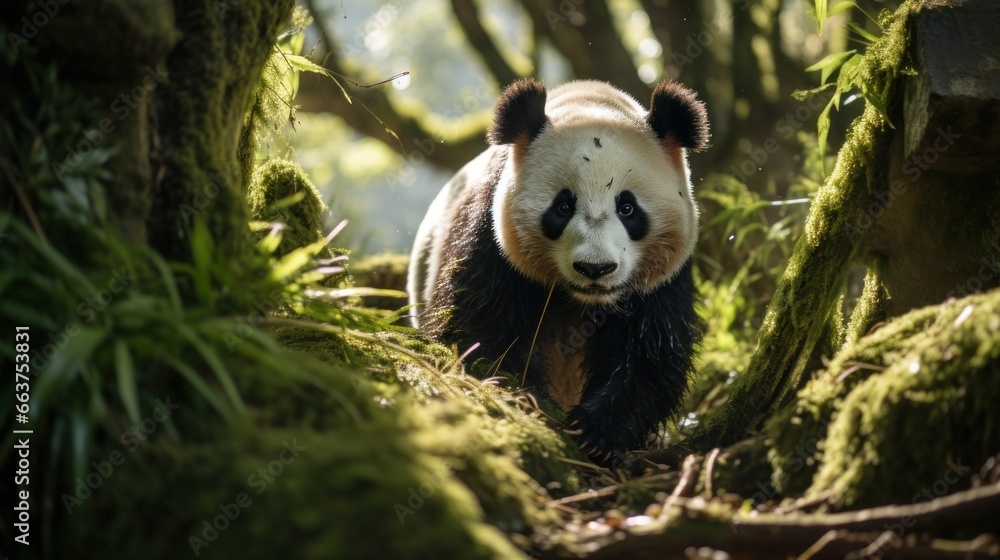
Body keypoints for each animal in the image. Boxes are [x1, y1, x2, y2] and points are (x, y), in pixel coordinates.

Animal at [408, 79, 712, 468]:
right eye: (563, 206)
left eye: (628, 208)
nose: (595, 268)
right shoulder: (490, 235)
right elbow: (483, 328)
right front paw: (528, 397)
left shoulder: (662, 278)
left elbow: (651, 352)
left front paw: (598, 433)